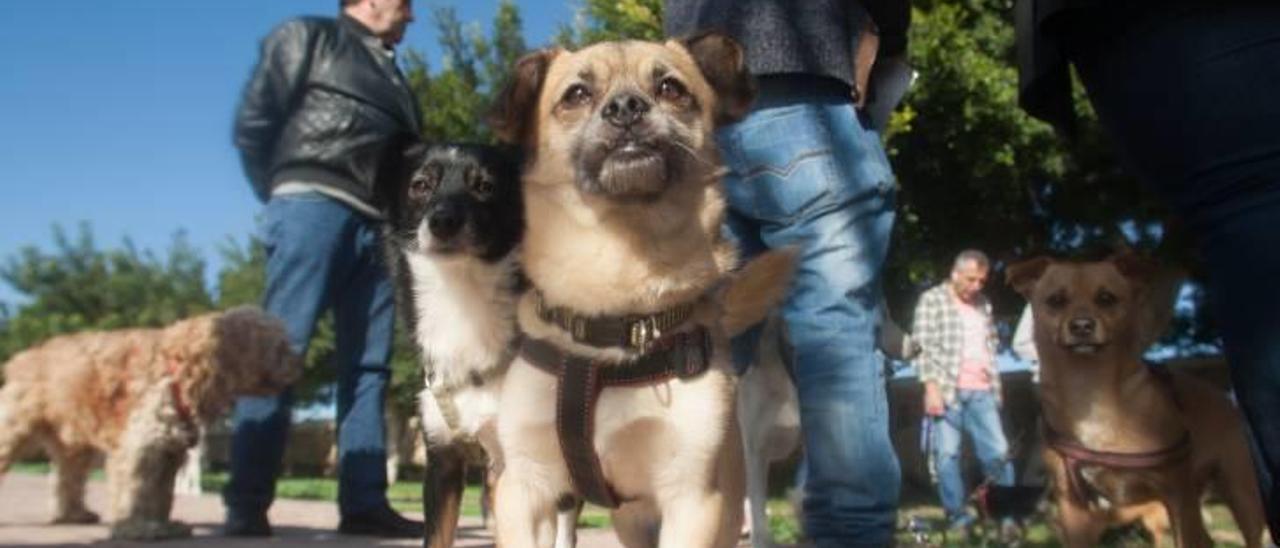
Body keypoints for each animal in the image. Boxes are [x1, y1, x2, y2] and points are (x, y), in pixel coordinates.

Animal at [0, 306, 299, 540]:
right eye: (280, 349)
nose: (297, 366)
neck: (178, 369)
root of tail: (21, 358)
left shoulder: (167, 450)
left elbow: (161, 494)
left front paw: (163, 525)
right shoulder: (140, 446)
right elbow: (137, 490)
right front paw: (137, 529)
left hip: (73, 442)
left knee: (67, 476)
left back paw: (72, 514)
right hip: (14, 428)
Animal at [1008, 256, 1269, 548]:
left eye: (1107, 298)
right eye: (1055, 300)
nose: (1082, 325)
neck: (1090, 391)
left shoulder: (1177, 496)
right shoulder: (1074, 513)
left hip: (1243, 496)